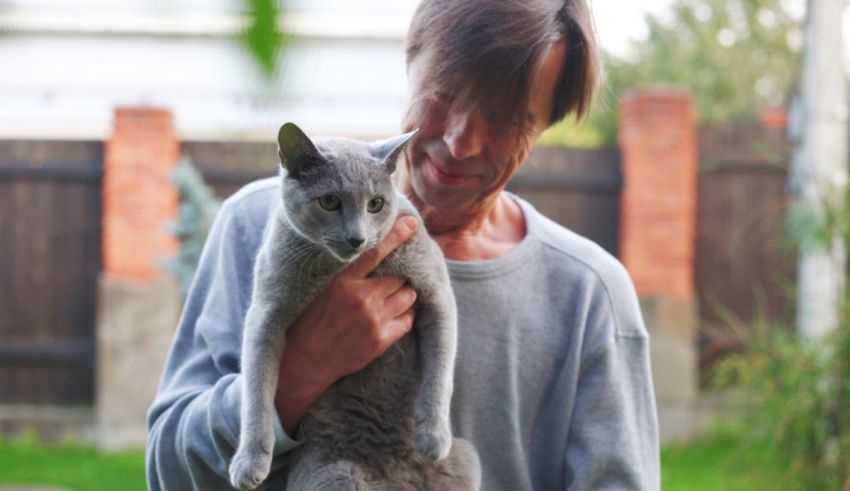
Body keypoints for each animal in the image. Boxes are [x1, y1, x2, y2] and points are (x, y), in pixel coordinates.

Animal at [227, 124, 476, 491]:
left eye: (376, 204)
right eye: (329, 201)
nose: (356, 238)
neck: (340, 267)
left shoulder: (437, 295)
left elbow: (441, 372)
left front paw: (432, 437)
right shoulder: (265, 313)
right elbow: (255, 392)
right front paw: (249, 464)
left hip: (468, 460)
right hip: (334, 475)